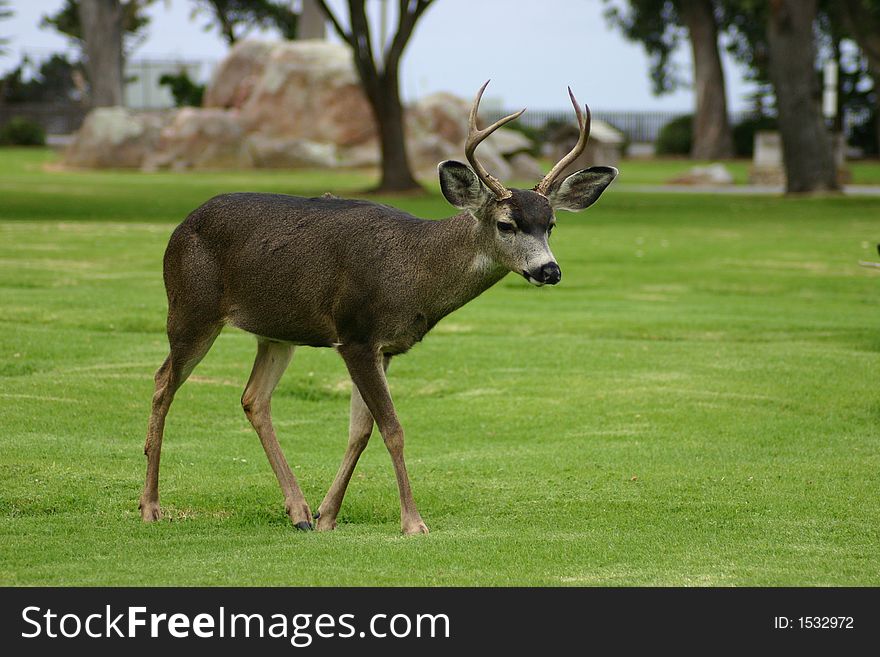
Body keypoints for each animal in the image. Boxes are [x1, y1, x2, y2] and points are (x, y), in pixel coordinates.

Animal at [139, 82, 620, 532]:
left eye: (551, 225)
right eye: (506, 224)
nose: (549, 270)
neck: (414, 273)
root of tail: (181, 226)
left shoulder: (384, 347)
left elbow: (361, 430)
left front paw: (327, 516)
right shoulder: (354, 333)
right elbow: (392, 429)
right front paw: (413, 522)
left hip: (275, 330)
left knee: (253, 398)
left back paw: (298, 512)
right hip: (190, 307)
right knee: (164, 382)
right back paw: (150, 506)